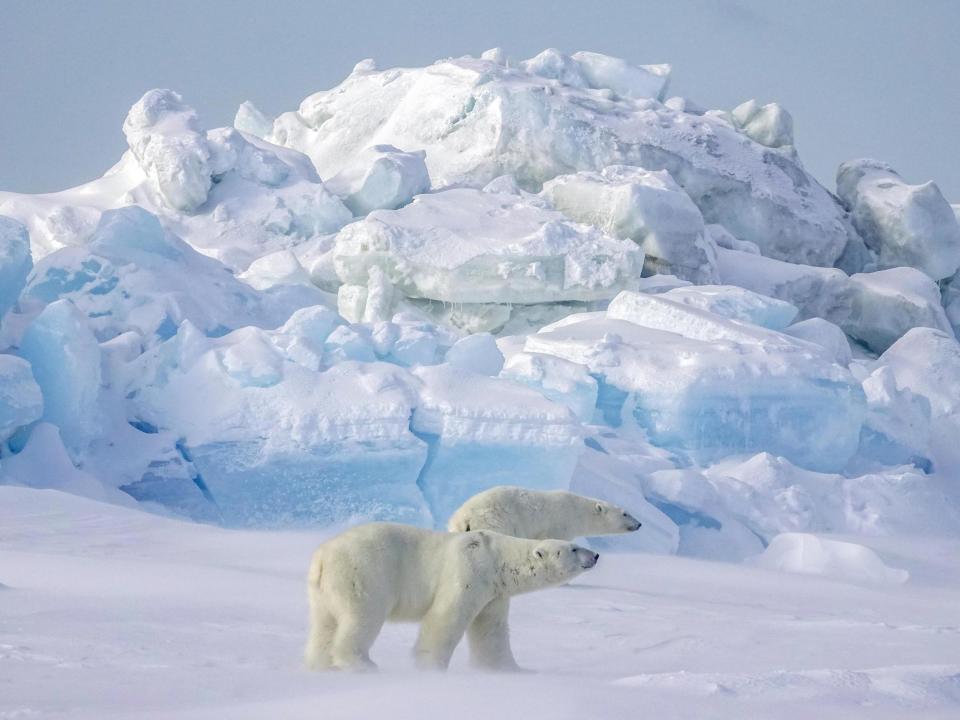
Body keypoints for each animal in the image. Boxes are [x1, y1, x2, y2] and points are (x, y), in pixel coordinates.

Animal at [304, 520, 596, 672]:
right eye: (573, 548)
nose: (594, 555)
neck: (496, 558)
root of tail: (322, 557)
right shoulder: (468, 570)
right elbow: (446, 618)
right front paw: (431, 666)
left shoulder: (494, 593)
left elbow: (491, 630)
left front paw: (508, 670)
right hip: (364, 573)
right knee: (362, 617)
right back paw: (362, 663)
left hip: (324, 591)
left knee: (324, 625)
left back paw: (319, 665)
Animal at [446, 486, 640, 536]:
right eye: (625, 513)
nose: (639, 524)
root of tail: (465, 517)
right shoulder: (560, 524)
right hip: (494, 520)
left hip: (455, 527)